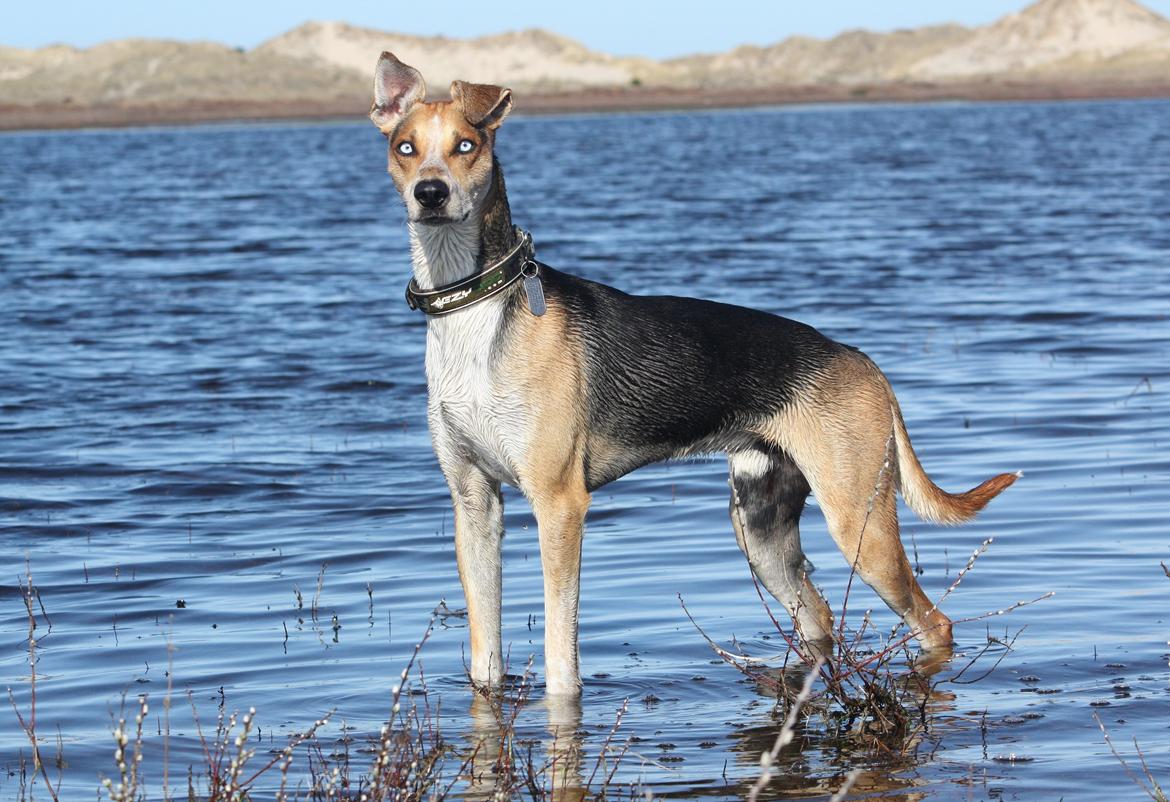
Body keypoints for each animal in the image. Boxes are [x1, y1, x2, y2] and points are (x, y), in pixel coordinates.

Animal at [369, 51, 1020, 693]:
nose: (430, 194)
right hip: (761, 532)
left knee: (934, 623)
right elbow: (485, 663)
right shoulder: (474, 503)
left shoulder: (559, 504)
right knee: (818, 616)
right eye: (405, 147)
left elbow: (560, 660)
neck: (476, 313)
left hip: (860, 525)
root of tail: (861, 359)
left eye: (466, 144)